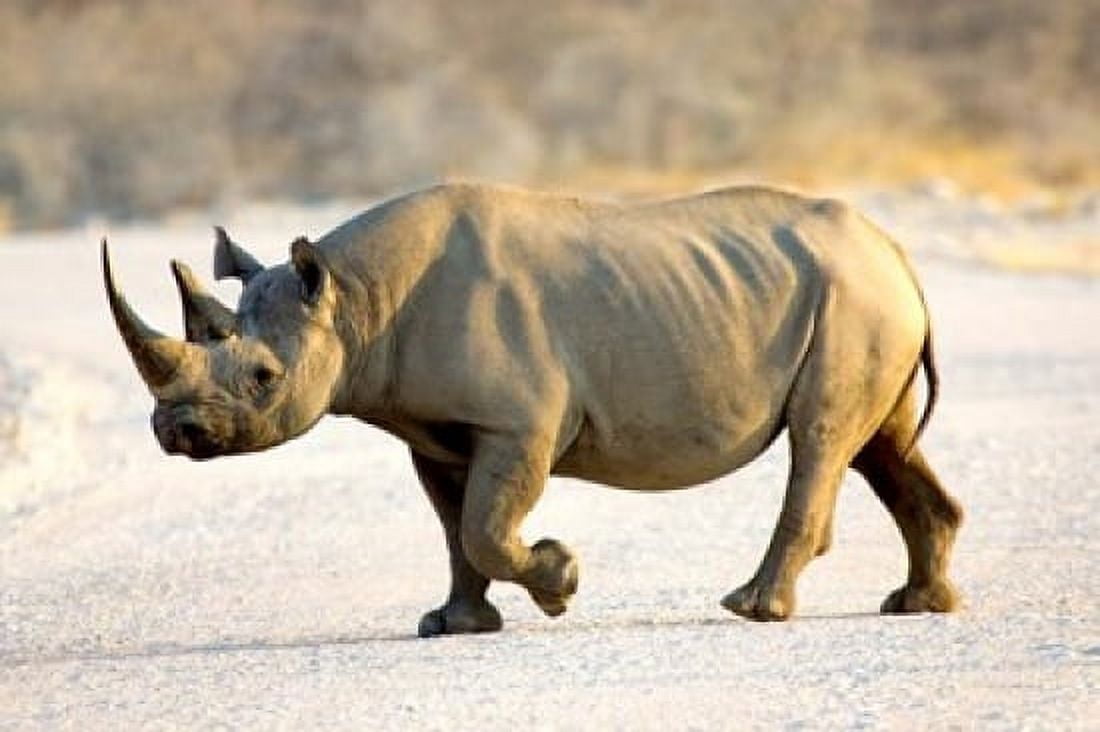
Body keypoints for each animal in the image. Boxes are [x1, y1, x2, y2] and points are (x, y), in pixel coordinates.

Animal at [102, 183, 963, 636]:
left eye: (263, 377)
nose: (175, 433)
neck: (353, 299)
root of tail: (899, 255)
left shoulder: (518, 423)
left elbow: (486, 527)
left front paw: (559, 581)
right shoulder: (433, 431)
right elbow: (455, 531)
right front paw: (452, 625)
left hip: (855, 300)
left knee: (821, 439)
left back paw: (754, 610)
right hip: (857, 300)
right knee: (880, 444)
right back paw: (917, 606)